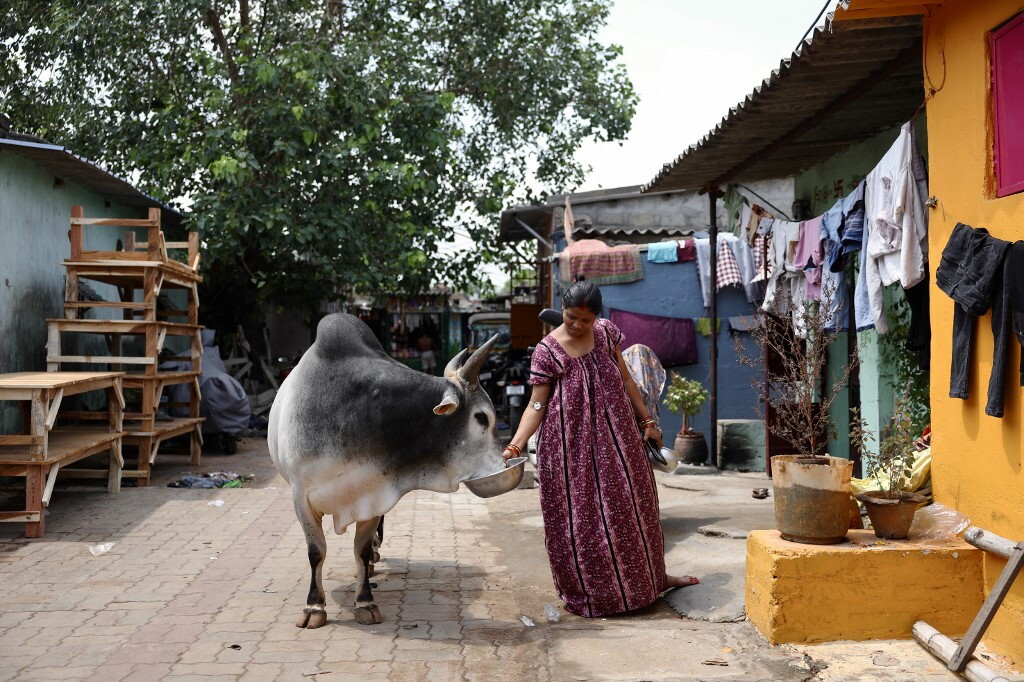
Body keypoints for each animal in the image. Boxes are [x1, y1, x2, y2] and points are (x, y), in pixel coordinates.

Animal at [268, 313, 507, 628]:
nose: (504, 465)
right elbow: (316, 551)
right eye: (482, 417)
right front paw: (313, 607)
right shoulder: (301, 495)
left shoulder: (375, 490)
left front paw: (365, 601)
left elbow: (361, 549)